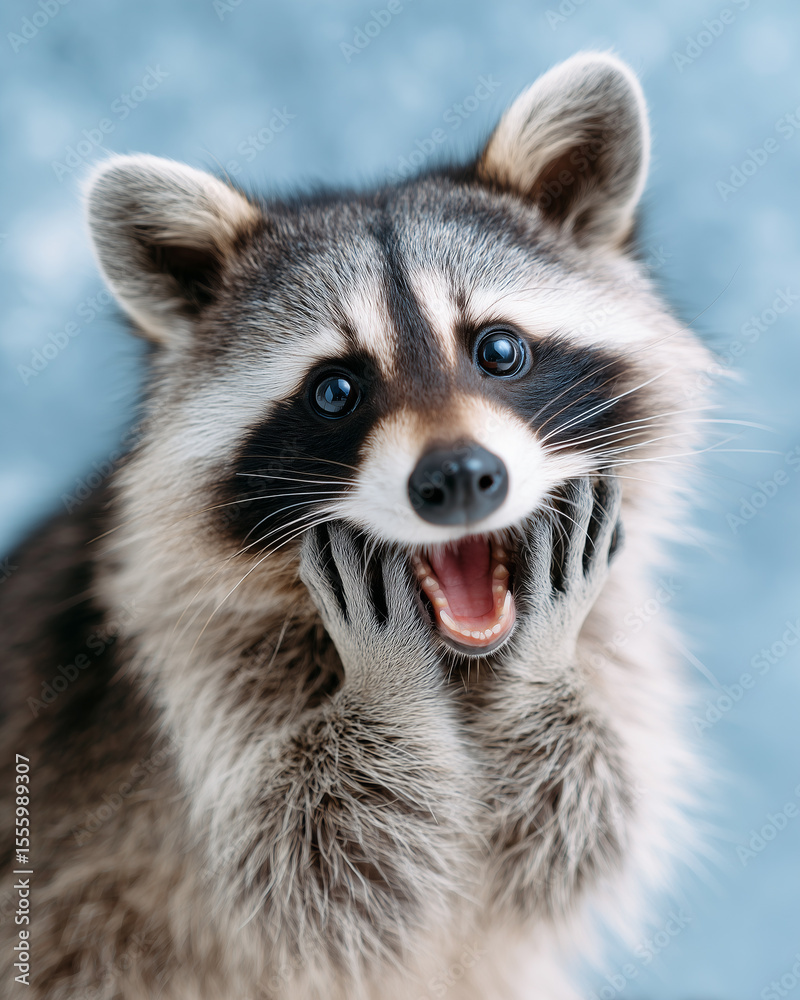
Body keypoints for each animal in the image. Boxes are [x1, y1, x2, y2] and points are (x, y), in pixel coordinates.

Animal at [0, 52, 710, 999]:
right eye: (336, 390)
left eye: (499, 350)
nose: (458, 479)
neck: (460, 658)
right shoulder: (185, 666)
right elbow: (307, 874)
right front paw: (387, 681)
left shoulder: (621, 639)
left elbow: (574, 838)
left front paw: (540, 661)